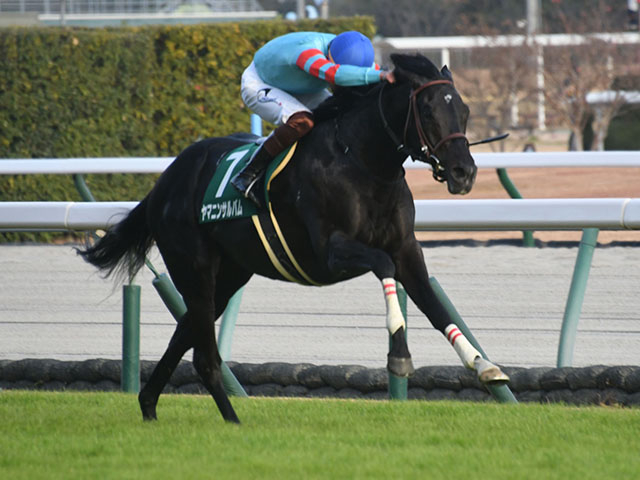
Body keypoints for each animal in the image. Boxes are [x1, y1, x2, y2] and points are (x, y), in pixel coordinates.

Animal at [80, 53, 508, 424]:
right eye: (428, 111)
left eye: (465, 111)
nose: (464, 172)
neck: (364, 163)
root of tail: (164, 182)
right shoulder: (331, 252)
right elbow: (384, 267)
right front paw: (399, 357)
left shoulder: (406, 249)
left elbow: (435, 307)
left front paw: (484, 365)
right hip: (194, 266)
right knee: (204, 355)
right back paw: (232, 421)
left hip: (229, 274)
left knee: (184, 334)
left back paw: (149, 406)